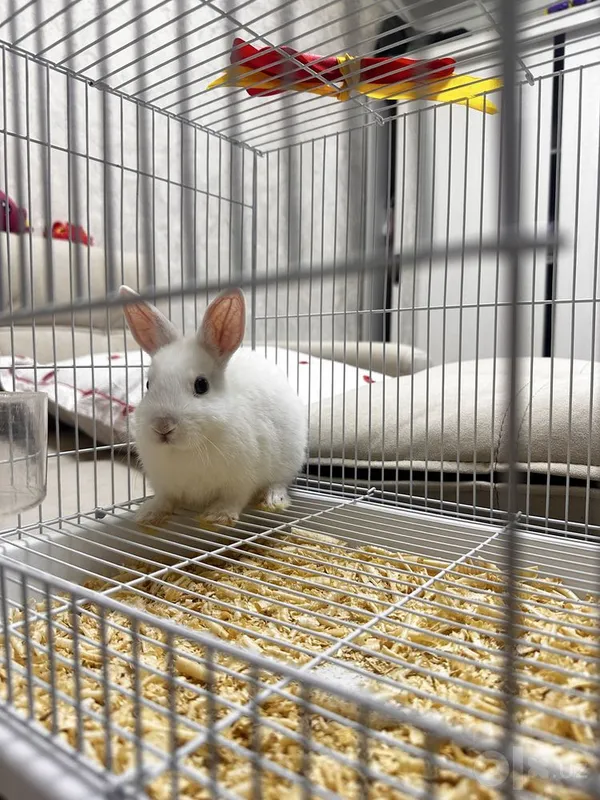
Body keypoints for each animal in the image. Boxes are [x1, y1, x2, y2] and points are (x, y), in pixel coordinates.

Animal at [120, 284, 308, 528]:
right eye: (148, 384)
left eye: (201, 385)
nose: (162, 426)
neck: (186, 449)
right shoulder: (165, 485)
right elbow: (165, 498)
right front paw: (148, 514)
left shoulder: (241, 480)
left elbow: (233, 498)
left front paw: (218, 516)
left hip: (290, 459)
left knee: (279, 481)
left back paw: (273, 500)